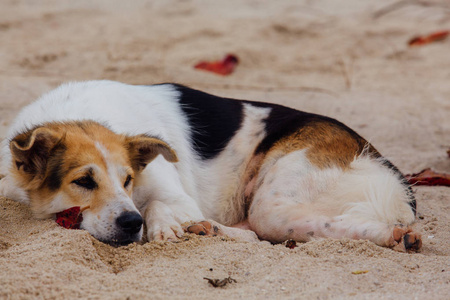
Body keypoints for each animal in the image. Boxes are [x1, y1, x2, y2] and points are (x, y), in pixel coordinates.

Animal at [0, 79, 422, 251]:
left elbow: (159, 203)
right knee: (254, 235)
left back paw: (395, 236)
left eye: (128, 178)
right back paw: (209, 229)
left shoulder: (172, 195)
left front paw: (162, 224)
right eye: (83, 181)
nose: (131, 223)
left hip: (275, 201)